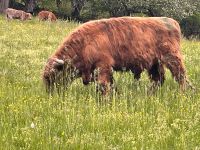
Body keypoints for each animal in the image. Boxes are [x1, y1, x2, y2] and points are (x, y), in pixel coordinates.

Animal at [43, 16, 191, 95]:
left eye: (53, 76)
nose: (51, 94)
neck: (84, 42)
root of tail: (172, 22)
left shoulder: (103, 66)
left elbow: (103, 85)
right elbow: (110, 84)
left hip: (172, 59)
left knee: (181, 77)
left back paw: (183, 93)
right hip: (154, 64)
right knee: (158, 79)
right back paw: (149, 94)